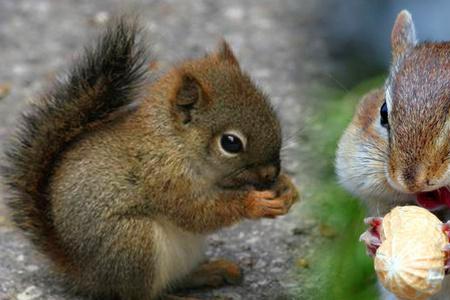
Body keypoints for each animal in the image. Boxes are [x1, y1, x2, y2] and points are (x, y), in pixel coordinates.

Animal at [3, 18, 300, 300]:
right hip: (133, 242)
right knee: (139, 294)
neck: (174, 143)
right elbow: (197, 213)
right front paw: (255, 203)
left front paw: (287, 188)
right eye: (230, 143)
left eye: (271, 111)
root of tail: (84, 274)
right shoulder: (162, 177)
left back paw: (211, 271)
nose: (271, 173)